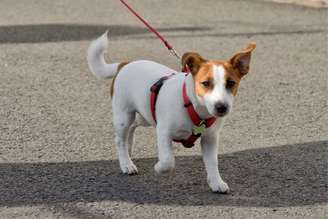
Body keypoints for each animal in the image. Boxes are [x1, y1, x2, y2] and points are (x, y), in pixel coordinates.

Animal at [87, 31, 256, 192]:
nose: (221, 107)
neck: (192, 106)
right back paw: (126, 163)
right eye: (205, 83)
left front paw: (216, 182)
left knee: (133, 127)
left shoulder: (210, 138)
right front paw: (159, 167)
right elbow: (168, 160)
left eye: (231, 83)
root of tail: (125, 64)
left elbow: (213, 162)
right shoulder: (163, 132)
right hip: (123, 116)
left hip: (145, 114)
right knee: (120, 139)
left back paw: (129, 151)